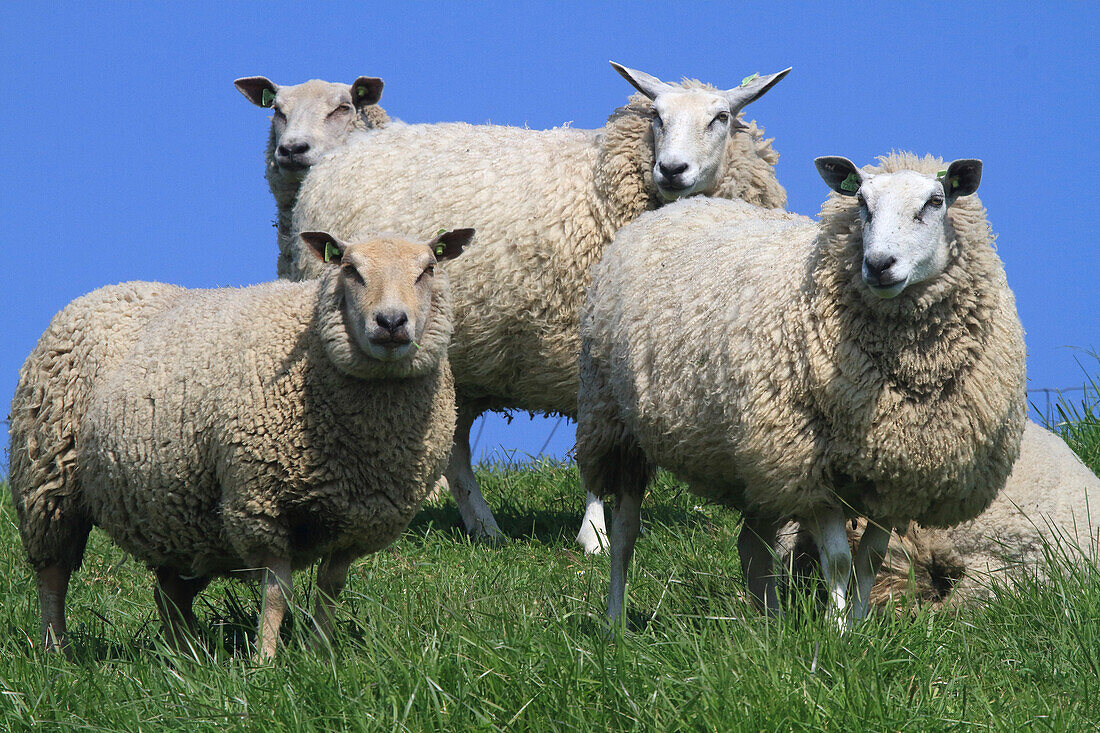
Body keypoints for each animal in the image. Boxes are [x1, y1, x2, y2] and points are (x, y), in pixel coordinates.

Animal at [9, 228, 473, 655]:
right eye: (349, 269)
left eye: (428, 269)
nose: (391, 323)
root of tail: (108, 289)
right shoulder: (262, 504)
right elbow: (277, 594)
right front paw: (264, 663)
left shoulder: (360, 520)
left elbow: (330, 589)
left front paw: (322, 655)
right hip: (48, 478)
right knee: (53, 575)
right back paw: (56, 651)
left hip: (177, 511)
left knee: (169, 593)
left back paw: (185, 658)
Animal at [292, 62, 792, 539]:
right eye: (657, 116)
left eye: (720, 117)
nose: (671, 170)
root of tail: (336, 160)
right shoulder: (590, 348)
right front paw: (594, 536)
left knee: (455, 447)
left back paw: (484, 528)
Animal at [580, 150, 1025, 625]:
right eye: (861, 203)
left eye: (935, 201)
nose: (878, 265)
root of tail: (685, 205)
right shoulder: (809, 466)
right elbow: (839, 561)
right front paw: (836, 630)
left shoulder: (895, 477)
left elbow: (869, 561)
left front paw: (861, 625)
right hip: (615, 425)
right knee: (625, 533)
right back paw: (614, 624)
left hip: (753, 463)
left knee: (752, 547)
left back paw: (770, 627)